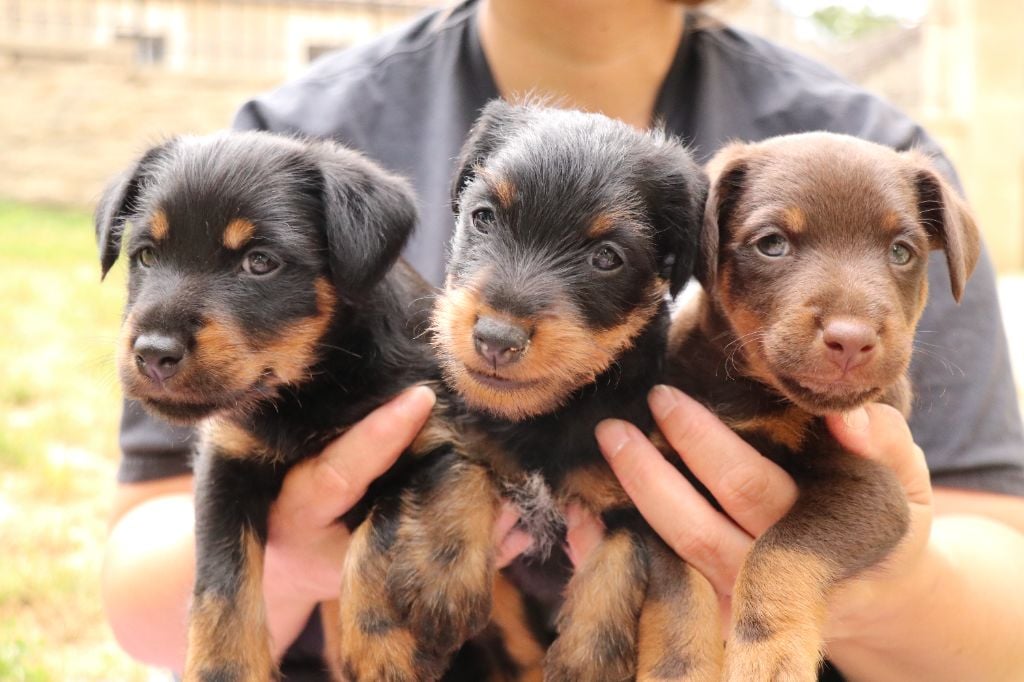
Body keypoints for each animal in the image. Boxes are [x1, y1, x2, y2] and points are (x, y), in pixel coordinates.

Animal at [94, 130, 536, 675]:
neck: (310, 389)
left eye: (260, 262)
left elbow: (381, 537)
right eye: (146, 257)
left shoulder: (424, 436)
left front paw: (382, 649)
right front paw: (224, 668)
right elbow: (221, 581)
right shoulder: (226, 465)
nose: (153, 353)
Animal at [432, 102, 720, 679]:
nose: (496, 339)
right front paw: (445, 584)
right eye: (483, 217)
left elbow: (614, 570)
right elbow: (464, 477)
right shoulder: (472, 439)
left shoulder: (635, 500)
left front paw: (585, 661)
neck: (550, 416)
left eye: (606, 258)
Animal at [667, 133, 978, 679]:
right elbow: (679, 594)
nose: (851, 340)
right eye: (772, 244)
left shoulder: (871, 487)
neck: (759, 396)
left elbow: (777, 553)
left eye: (902, 251)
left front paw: (768, 654)